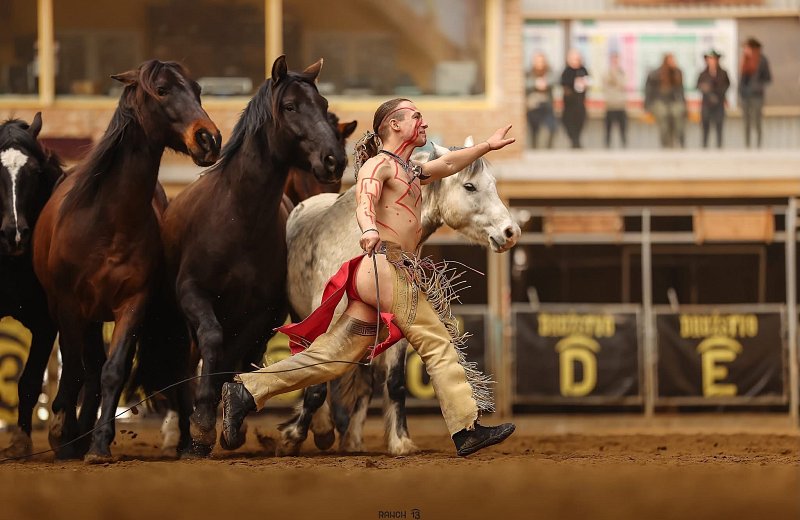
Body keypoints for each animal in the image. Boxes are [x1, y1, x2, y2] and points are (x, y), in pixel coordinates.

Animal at [32, 60, 221, 462]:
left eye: (198, 91)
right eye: (162, 90)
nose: (209, 139)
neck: (107, 223)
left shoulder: (133, 305)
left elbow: (113, 371)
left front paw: (99, 444)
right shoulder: (69, 307)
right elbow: (73, 370)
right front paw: (62, 433)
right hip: (81, 316)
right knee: (82, 369)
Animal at [156, 55, 346, 456]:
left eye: (322, 105)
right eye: (290, 106)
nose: (334, 160)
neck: (237, 218)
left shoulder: (262, 313)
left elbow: (233, 357)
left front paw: (223, 422)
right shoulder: (192, 292)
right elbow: (213, 340)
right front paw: (201, 425)